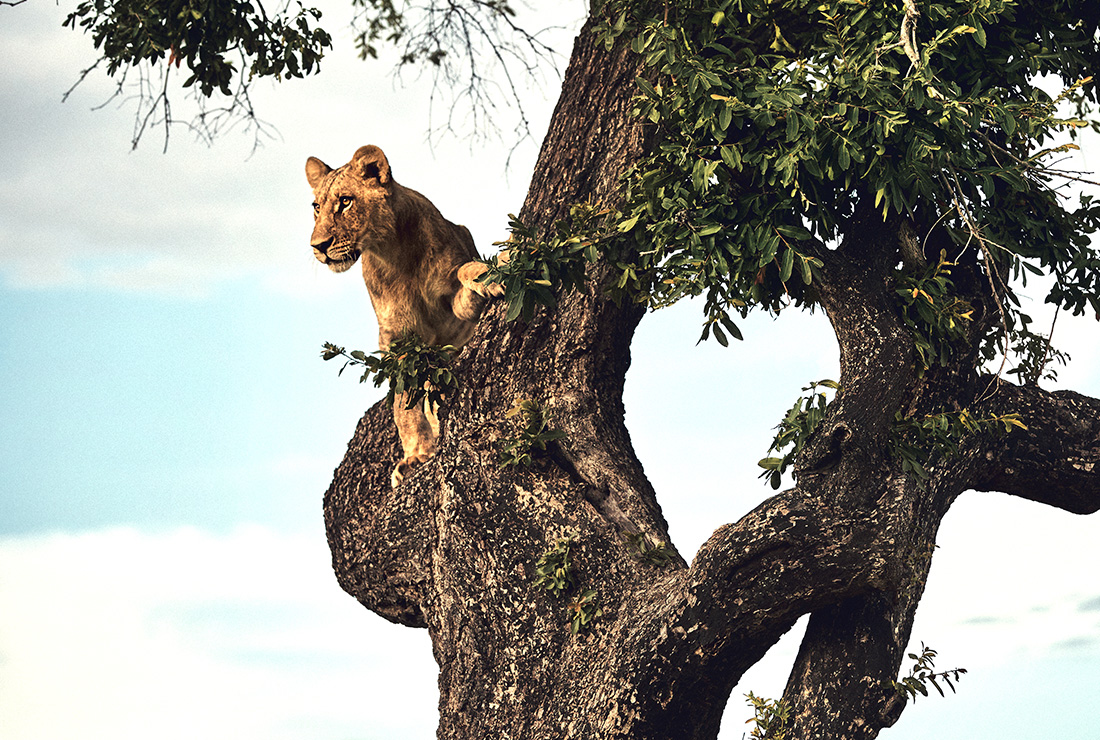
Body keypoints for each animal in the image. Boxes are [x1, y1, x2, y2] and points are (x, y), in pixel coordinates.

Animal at [306, 145, 502, 487]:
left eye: (345, 201)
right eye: (316, 207)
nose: (318, 246)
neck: (394, 255)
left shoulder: (455, 308)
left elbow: (466, 272)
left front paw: (490, 275)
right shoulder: (394, 337)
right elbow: (403, 402)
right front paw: (415, 456)